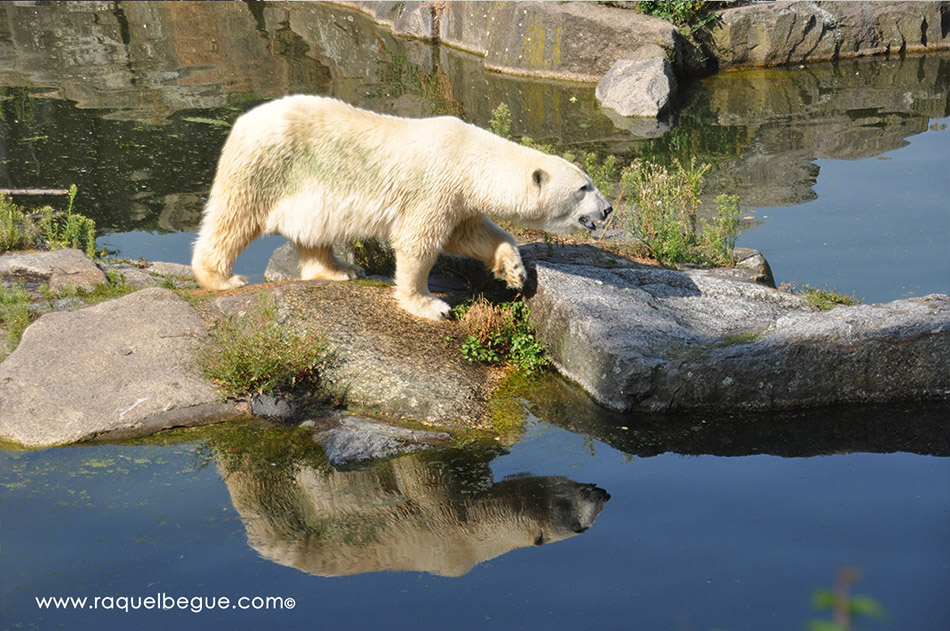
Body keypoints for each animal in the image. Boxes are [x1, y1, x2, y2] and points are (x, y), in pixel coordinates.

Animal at [190, 94, 612, 320]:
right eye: (584, 187)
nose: (607, 209)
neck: (470, 158)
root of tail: (241, 122)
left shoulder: (458, 200)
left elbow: (473, 235)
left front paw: (515, 272)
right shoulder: (436, 187)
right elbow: (418, 242)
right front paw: (430, 305)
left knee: (314, 230)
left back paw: (341, 270)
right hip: (267, 167)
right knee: (234, 218)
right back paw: (222, 278)